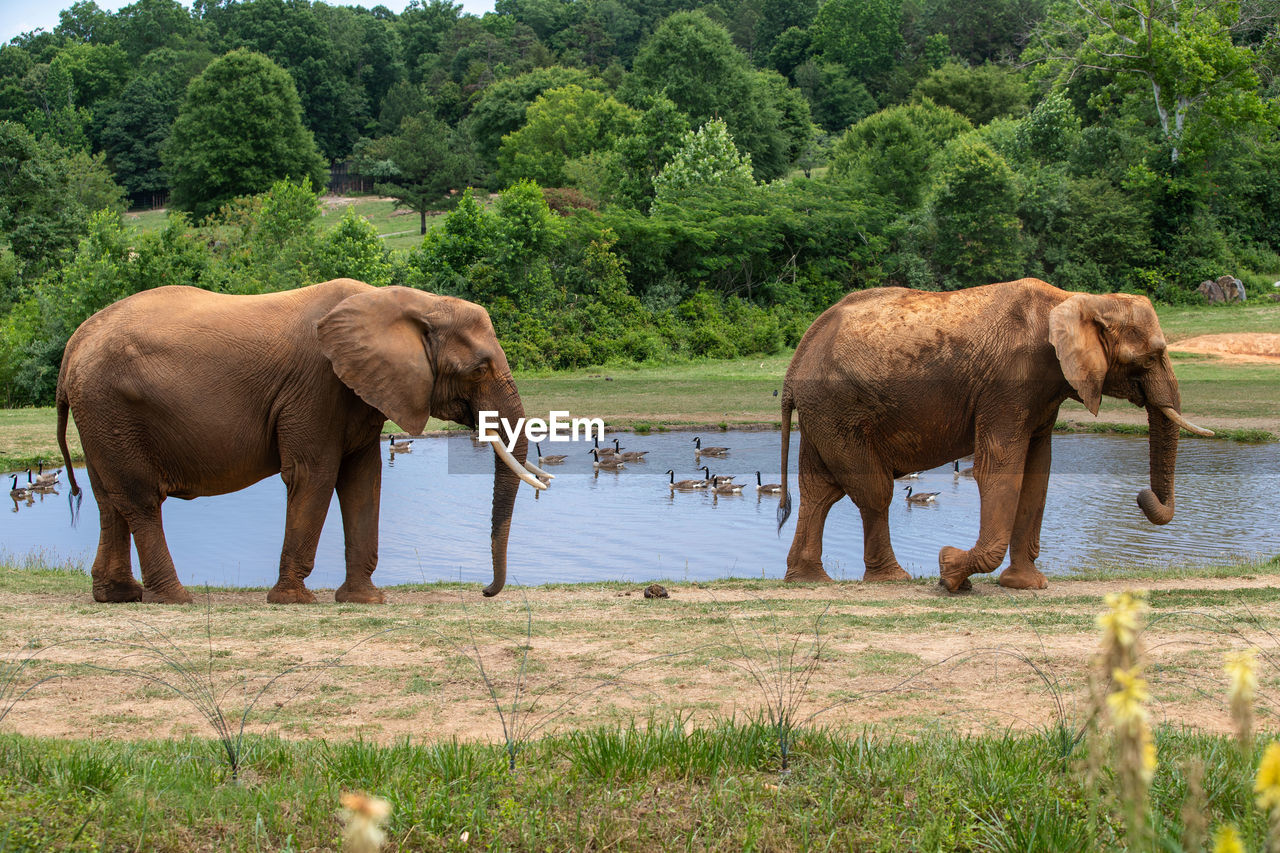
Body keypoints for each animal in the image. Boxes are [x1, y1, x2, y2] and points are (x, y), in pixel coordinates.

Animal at [55, 275, 547, 601]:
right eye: (479, 369)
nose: (485, 591)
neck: (408, 303)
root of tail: (73, 345)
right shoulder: (316, 385)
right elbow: (314, 473)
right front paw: (293, 600)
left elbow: (362, 479)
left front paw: (362, 601)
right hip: (111, 406)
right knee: (140, 500)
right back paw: (175, 598)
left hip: (100, 415)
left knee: (108, 499)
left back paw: (118, 595)